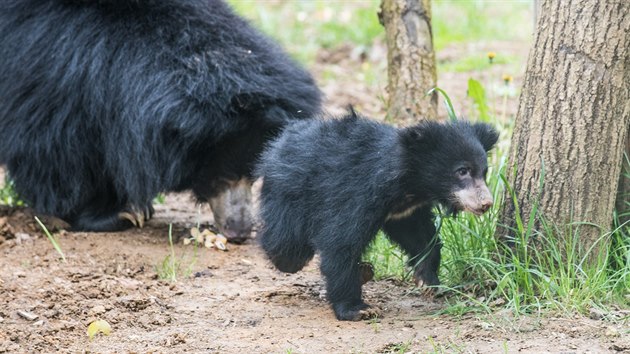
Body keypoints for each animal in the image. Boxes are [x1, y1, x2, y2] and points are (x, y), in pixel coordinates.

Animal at [0, 0, 320, 241]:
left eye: (253, 176)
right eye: (220, 176)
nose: (240, 231)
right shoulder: (51, 70)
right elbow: (55, 148)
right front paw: (118, 214)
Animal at [256, 111, 498, 320]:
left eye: (484, 172)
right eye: (462, 171)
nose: (486, 203)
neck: (411, 186)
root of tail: (283, 137)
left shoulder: (405, 212)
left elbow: (422, 237)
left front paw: (427, 280)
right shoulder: (357, 192)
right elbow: (341, 241)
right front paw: (357, 309)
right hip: (291, 191)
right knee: (286, 240)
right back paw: (288, 259)